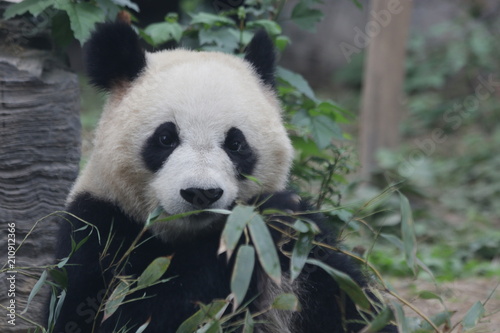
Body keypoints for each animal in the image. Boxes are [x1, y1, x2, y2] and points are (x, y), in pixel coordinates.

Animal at [50, 22, 394, 332]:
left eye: (235, 144)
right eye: (166, 138)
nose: (201, 193)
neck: (193, 235)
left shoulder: (309, 252)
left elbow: (349, 305)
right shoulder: (99, 225)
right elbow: (117, 313)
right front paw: (261, 220)